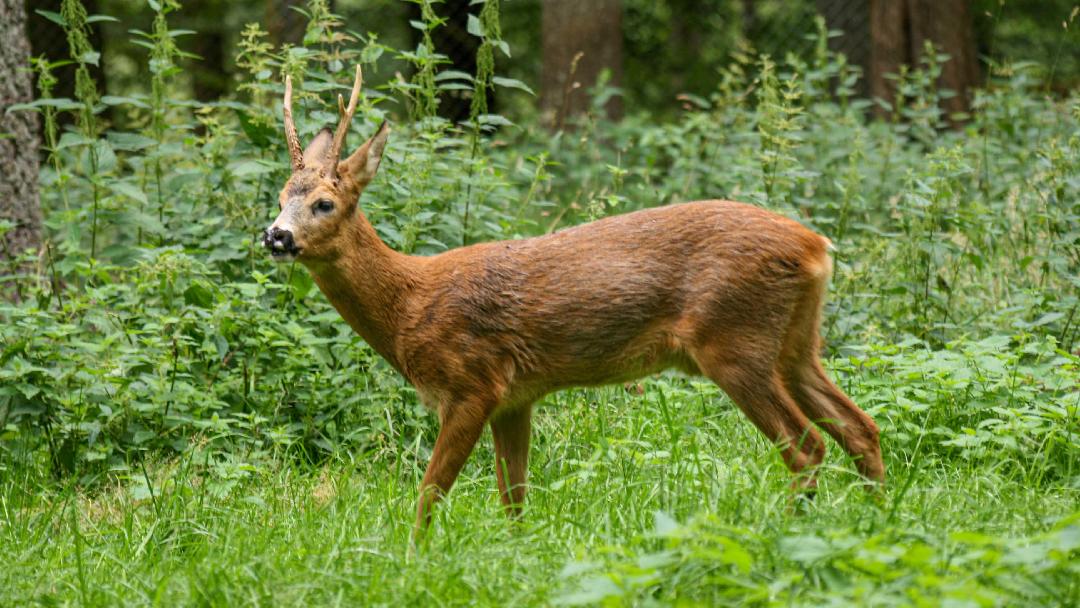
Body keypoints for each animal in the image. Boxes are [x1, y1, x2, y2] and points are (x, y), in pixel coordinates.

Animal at [263, 67, 885, 537]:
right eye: (280, 196)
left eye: (323, 203)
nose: (276, 236)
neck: (410, 306)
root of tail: (816, 246)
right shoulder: (515, 397)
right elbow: (513, 496)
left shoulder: (470, 383)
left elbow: (430, 492)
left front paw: (414, 559)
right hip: (795, 343)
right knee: (860, 427)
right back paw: (874, 526)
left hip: (734, 338)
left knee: (806, 447)